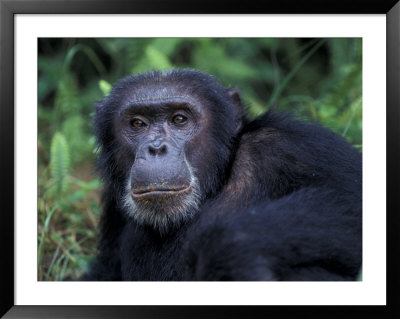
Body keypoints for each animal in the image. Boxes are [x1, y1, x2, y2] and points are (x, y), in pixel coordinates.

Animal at [81, 69, 362, 282]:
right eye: (137, 123)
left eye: (179, 119)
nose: (156, 148)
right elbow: (105, 271)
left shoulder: (295, 146)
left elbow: (350, 199)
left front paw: (226, 248)